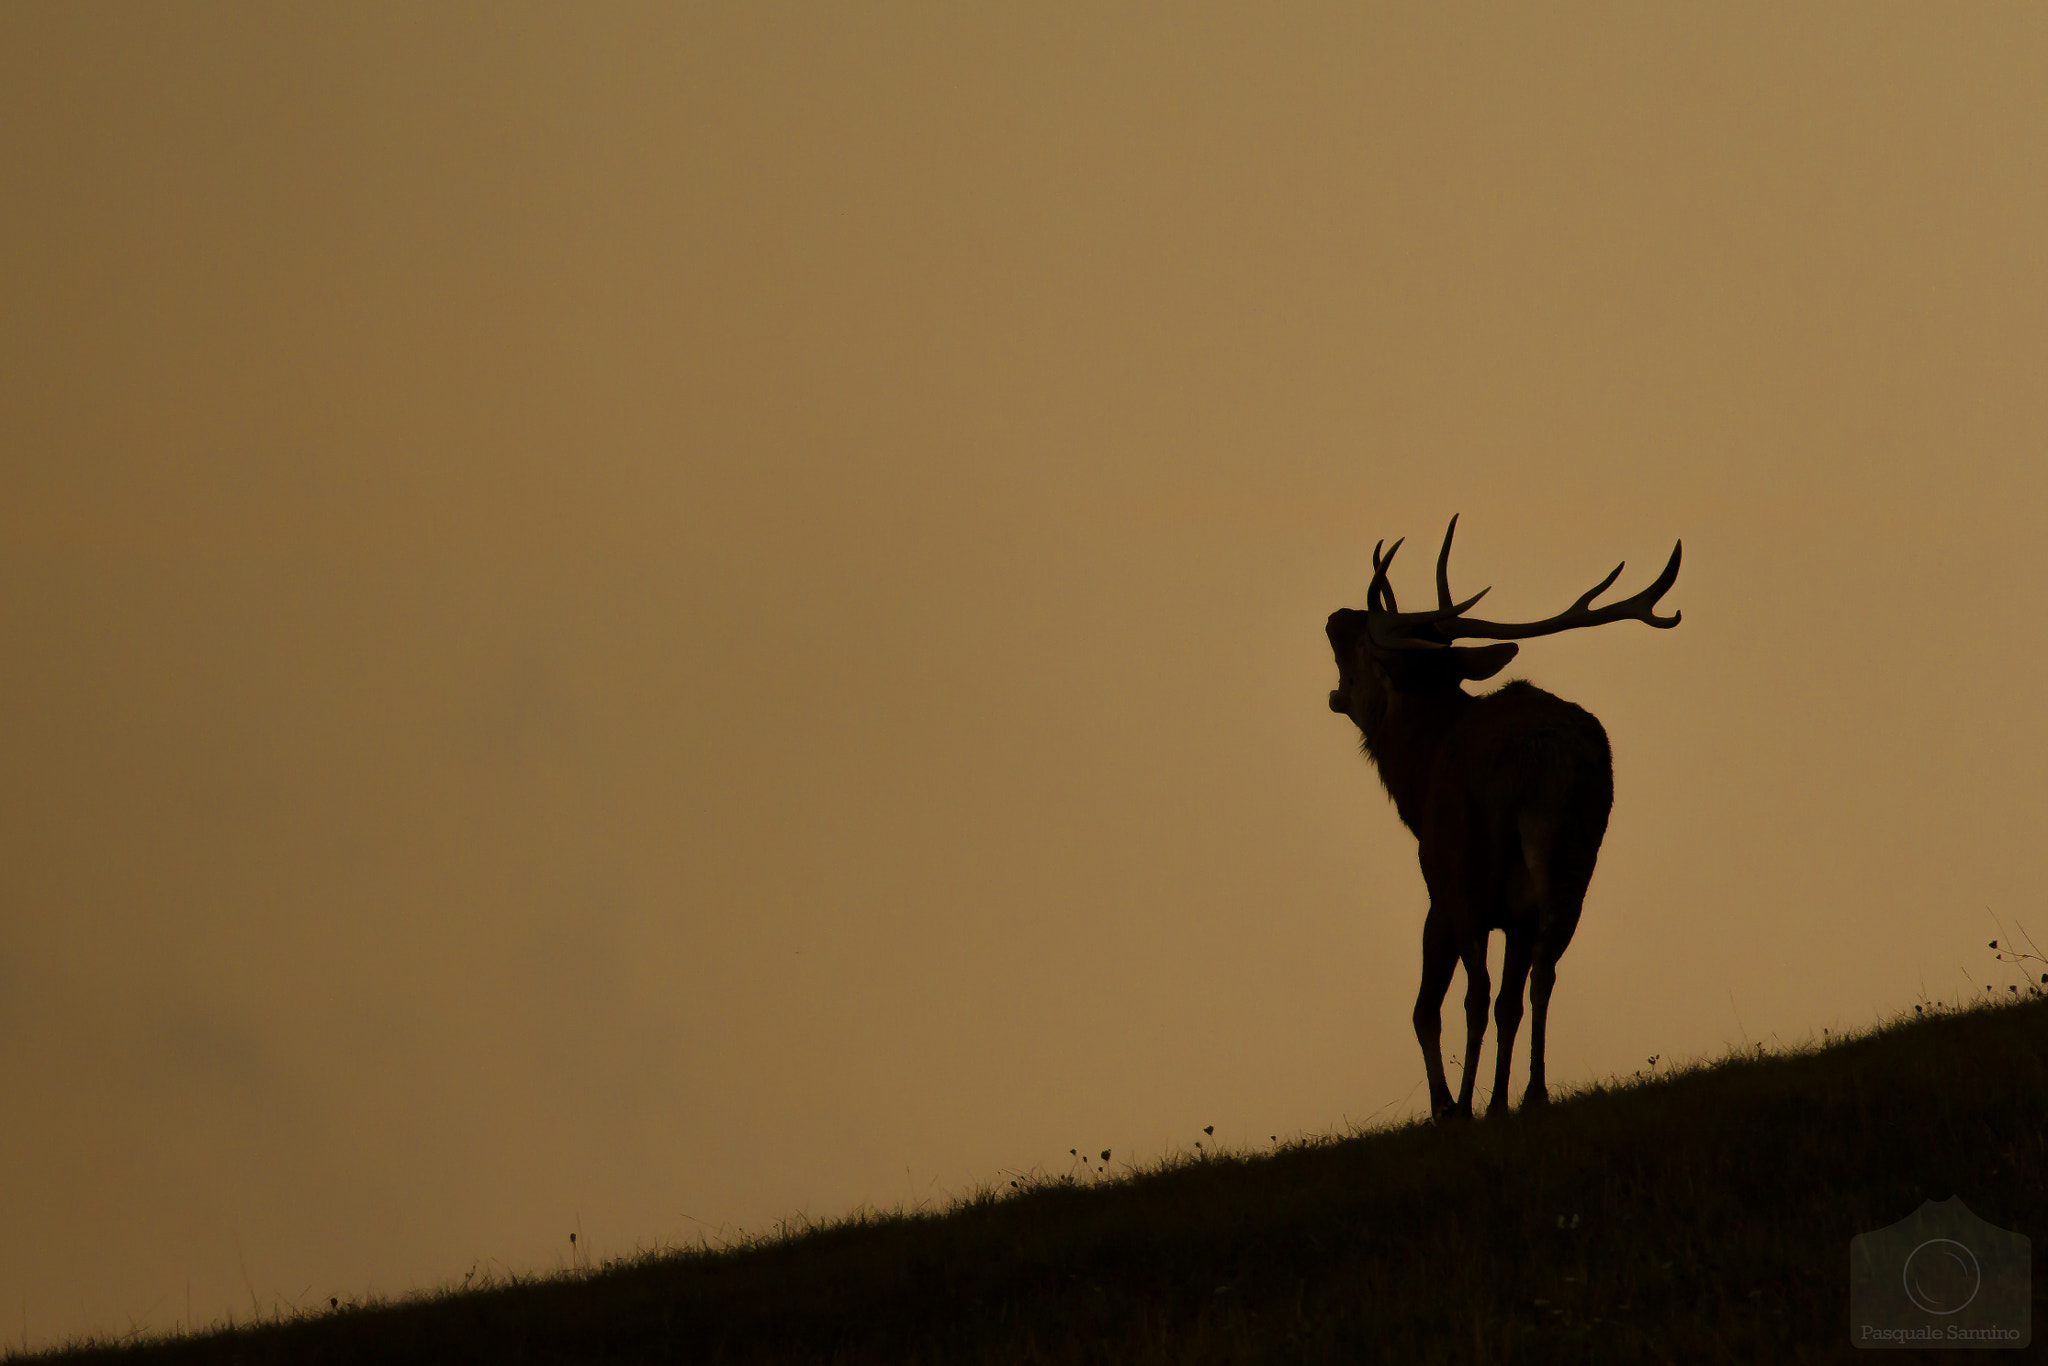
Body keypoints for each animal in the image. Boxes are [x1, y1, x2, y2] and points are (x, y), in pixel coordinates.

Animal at [1325, 516, 1680, 1121]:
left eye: (1363, 639)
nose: (1333, 617)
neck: (1417, 776)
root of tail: (1544, 756)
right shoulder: (1516, 911)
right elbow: (1508, 1000)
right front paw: (1498, 1099)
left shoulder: (1440, 886)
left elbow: (1427, 1008)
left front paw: (1449, 1107)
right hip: (1572, 866)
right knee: (1541, 974)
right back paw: (1532, 1092)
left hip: (1472, 865)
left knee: (1475, 992)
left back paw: (1471, 1103)